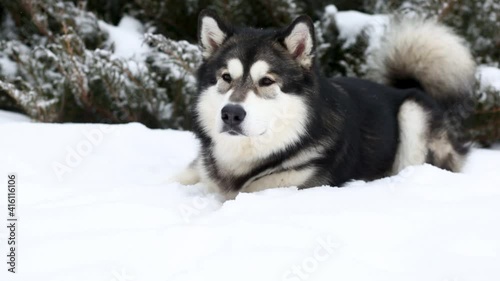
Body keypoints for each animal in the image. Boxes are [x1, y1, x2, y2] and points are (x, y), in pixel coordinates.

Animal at [175, 8, 476, 197]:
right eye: (226, 77)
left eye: (267, 81)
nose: (231, 114)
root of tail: (406, 87)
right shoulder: (201, 168)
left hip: (413, 113)